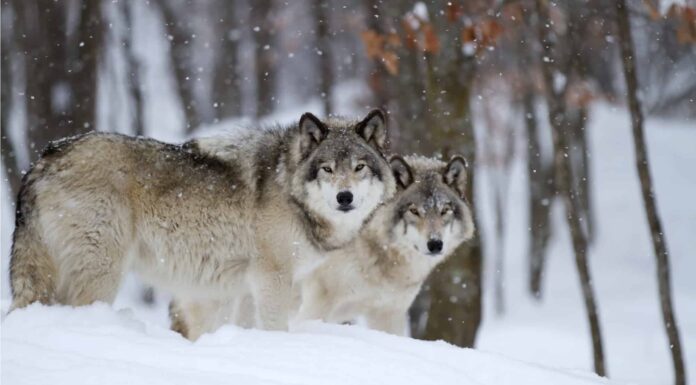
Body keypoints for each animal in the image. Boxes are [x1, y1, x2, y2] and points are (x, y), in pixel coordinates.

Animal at [9, 109, 396, 330]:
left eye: (359, 167)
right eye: (327, 169)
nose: (344, 198)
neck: (288, 186)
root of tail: (42, 160)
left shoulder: (244, 286)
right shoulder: (272, 278)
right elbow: (275, 326)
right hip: (101, 273)